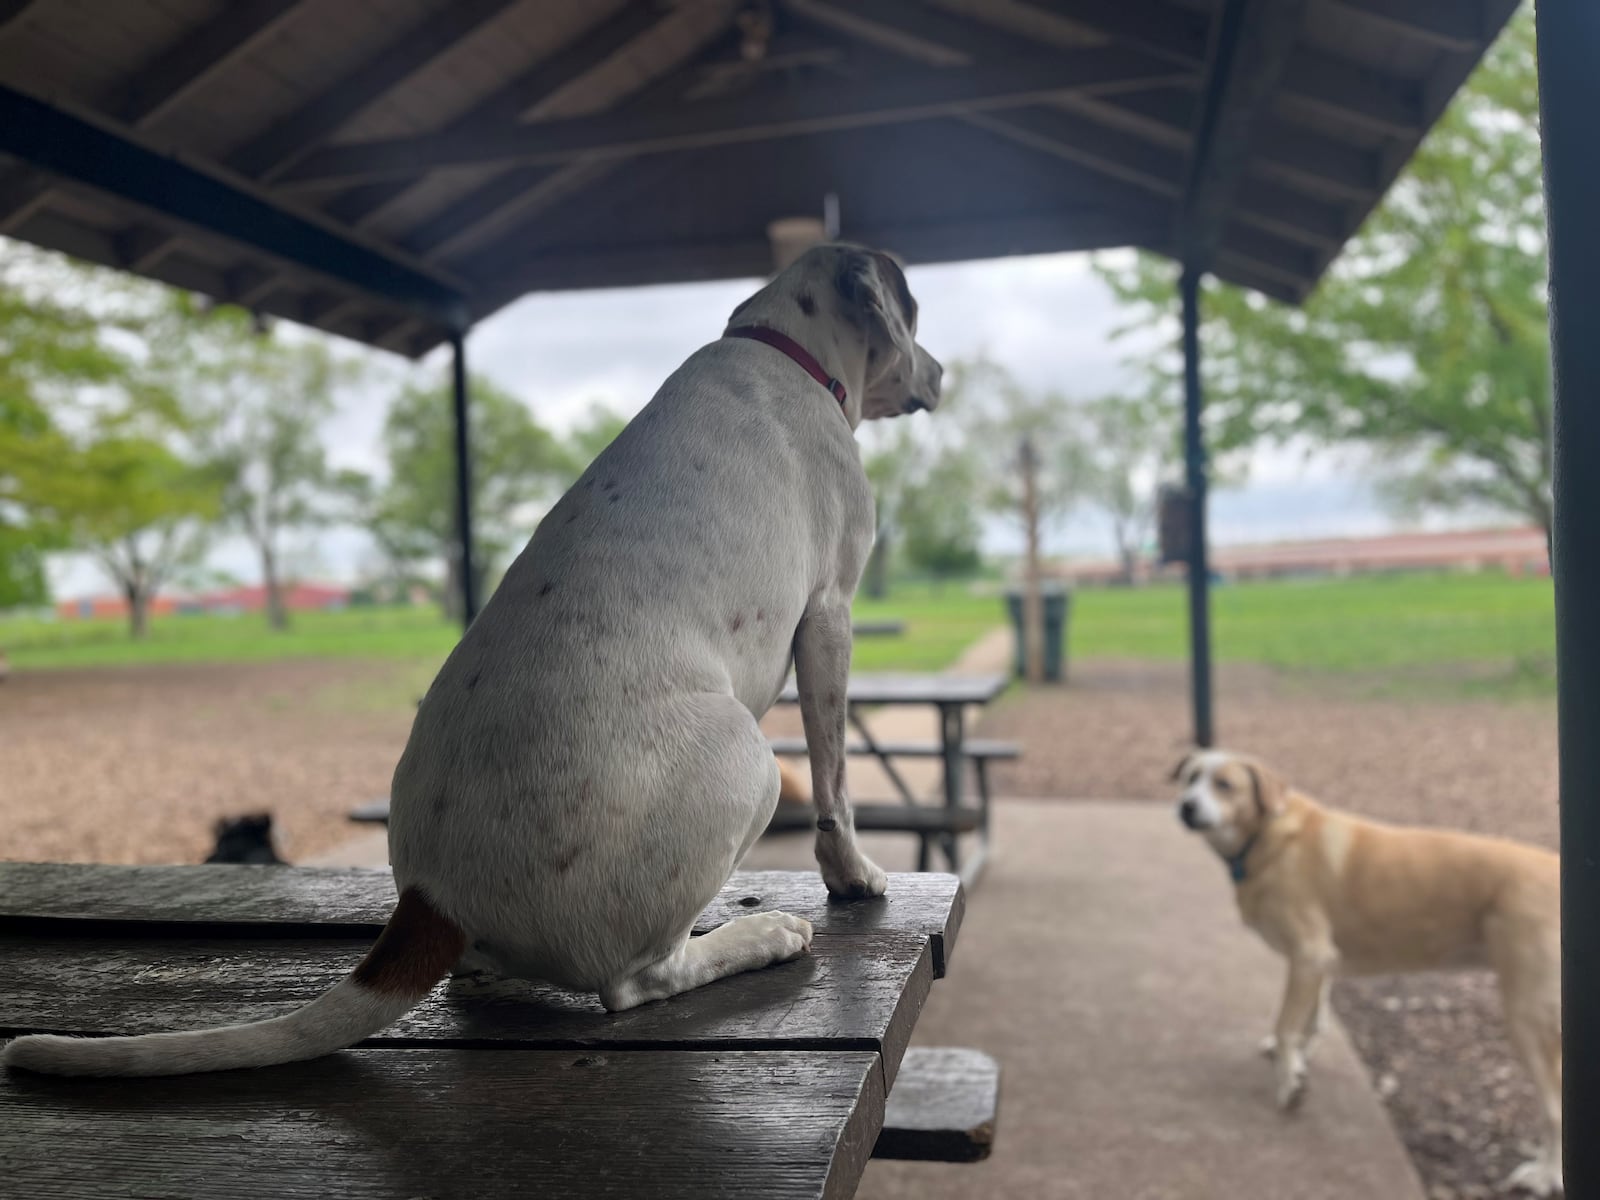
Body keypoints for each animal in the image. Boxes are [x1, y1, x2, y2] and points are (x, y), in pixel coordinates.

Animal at [3, 244, 934, 1081]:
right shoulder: (830, 614)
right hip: (747, 760)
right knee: (636, 981)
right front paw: (854, 878)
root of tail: (434, 901)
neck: (786, 349)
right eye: (917, 312)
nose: (943, 373)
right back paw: (759, 936)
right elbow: (837, 782)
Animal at [1177, 748, 1561, 1196]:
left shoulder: (1309, 954)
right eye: (1190, 778)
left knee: (1555, 1108)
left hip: (1528, 1019)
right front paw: (1296, 1062)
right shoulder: (1319, 963)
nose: (1186, 807)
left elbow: (1288, 1024)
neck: (1267, 835)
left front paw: (1289, 1083)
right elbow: (1310, 1021)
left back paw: (1546, 1174)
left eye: (1224, 784)